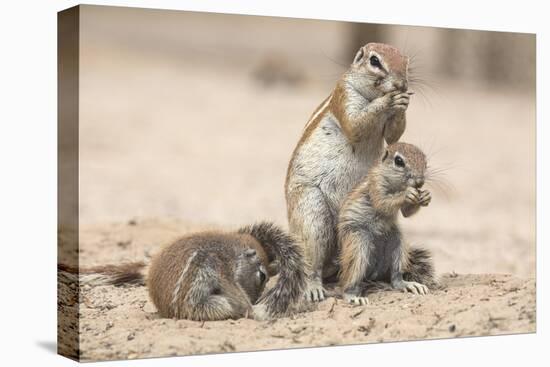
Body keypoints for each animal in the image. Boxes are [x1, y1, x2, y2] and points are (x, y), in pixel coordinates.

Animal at [60, 221, 310, 322]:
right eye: (262, 276)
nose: (256, 299)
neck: (233, 248)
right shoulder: (220, 267)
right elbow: (232, 289)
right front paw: (250, 309)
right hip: (203, 305)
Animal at [286, 43, 412, 302]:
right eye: (375, 61)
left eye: (406, 62)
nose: (402, 84)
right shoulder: (344, 95)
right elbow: (355, 124)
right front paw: (390, 99)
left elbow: (394, 135)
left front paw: (402, 102)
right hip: (311, 212)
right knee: (312, 262)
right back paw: (313, 288)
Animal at [338, 142, 438, 306]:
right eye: (399, 161)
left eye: (425, 160)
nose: (420, 182)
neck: (396, 185)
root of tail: (373, 273)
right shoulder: (376, 186)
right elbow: (383, 203)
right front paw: (406, 195)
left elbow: (406, 212)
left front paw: (425, 196)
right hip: (357, 244)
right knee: (349, 279)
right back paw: (352, 296)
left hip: (397, 243)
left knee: (395, 278)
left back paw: (408, 284)